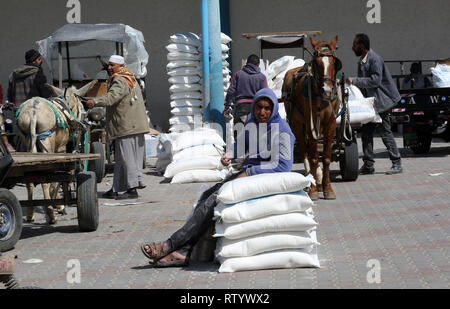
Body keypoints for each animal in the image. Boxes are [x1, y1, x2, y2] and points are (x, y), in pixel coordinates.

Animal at [16, 80, 97, 223]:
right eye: (80, 106)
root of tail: (33, 112)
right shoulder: (61, 150)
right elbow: (58, 179)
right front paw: (59, 205)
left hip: (27, 143)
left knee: (29, 181)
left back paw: (30, 214)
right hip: (47, 146)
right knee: (44, 181)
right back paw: (51, 214)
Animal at [284, 35, 342, 200]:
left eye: (334, 62)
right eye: (317, 63)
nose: (327, 90)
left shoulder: (330, 124)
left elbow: (327, 157)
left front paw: (327, 188)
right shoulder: (312, 124)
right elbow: (314, 157)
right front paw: (314, 190)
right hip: (297, 124)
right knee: (305, 151)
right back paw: (311, 180)